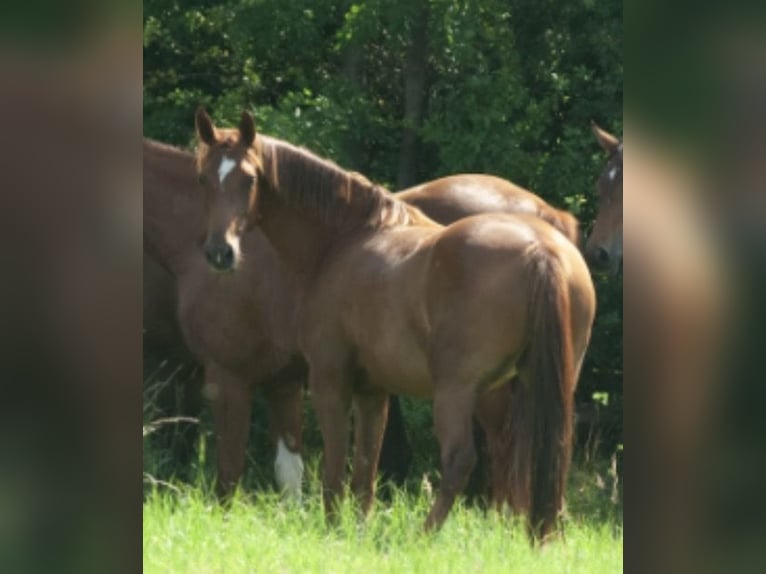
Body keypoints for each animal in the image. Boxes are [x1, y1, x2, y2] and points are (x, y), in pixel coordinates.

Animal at [194, 109, 596, 540]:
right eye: (204, 178)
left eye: (250, 178)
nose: (220, 253)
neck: (344, 240)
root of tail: (540, 250)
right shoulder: (373, 390)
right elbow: (365, 471)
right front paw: (358, 532)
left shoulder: (329, 380)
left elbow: (336, 467)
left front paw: (333, 528)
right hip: (539, 386)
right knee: (545, 454)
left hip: (458, 391)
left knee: (460, 459)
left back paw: (425, 534)